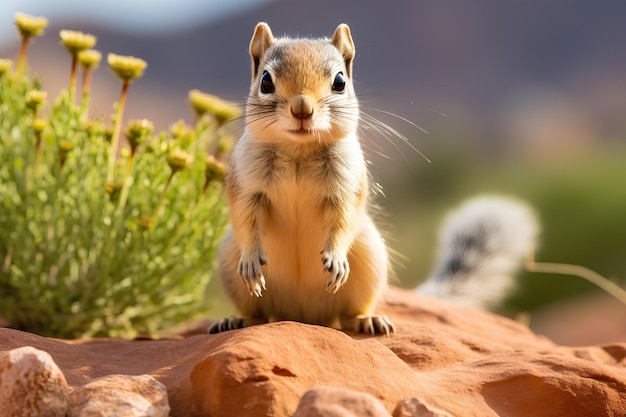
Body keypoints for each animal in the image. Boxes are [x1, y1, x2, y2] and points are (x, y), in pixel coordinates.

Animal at [210, 22, 394, 334]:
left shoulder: (346, 185)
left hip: (370, 260)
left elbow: (344, 218)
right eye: (266, 81)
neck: (298, 151)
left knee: (348, 315)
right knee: (259, 315)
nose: (302, 108)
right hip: (230, 263)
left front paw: (335, 258)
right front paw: (251, 261)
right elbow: (245, 218)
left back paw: (368, 320)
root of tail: (302, 315)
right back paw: (234, 320)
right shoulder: (246, 184)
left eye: (340, 82)